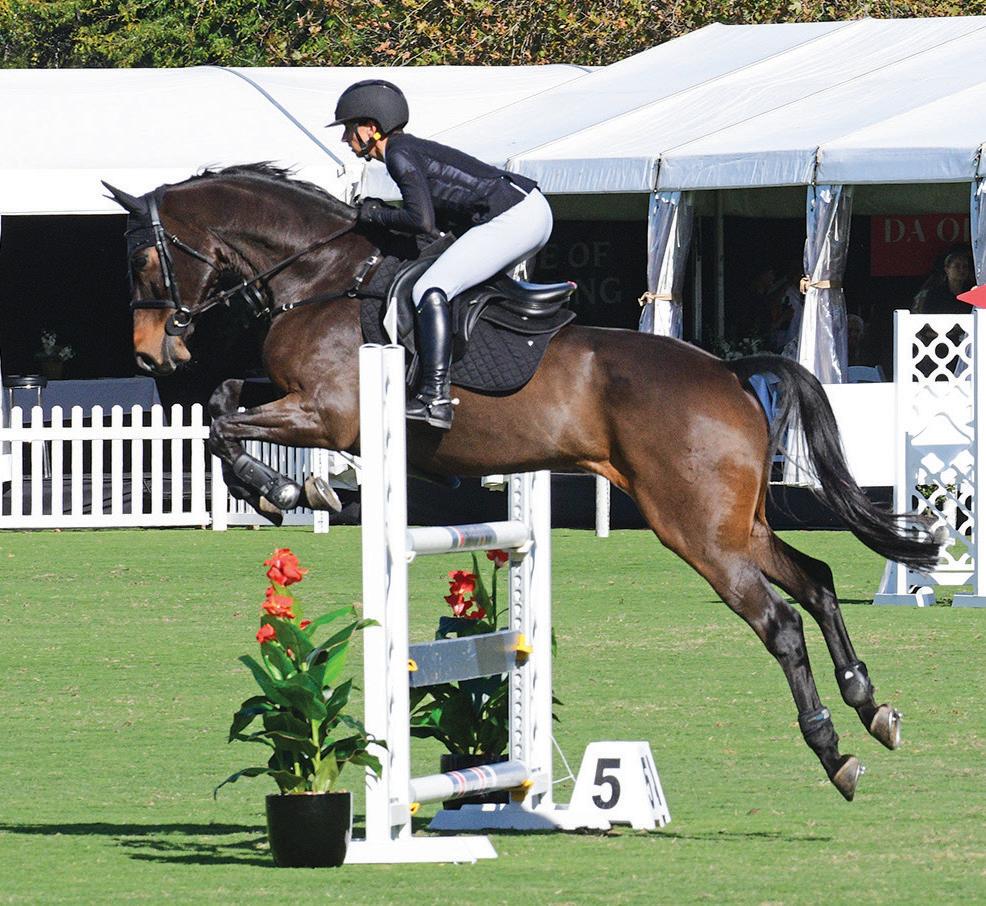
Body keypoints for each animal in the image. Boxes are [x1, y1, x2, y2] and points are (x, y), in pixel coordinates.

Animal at [104, 163, 939, 802]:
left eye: (143, 263)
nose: (150, 355)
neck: (328, 278)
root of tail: (729, 374)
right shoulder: (297, 399)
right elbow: (223, 403)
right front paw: (280, 491)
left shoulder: (329, 416)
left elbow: (225, 425)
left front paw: (285, 492)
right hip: (737, 523)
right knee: (819, 580)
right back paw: (872, 707)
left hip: (695, 530)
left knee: (780, 621)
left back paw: (835, 751)